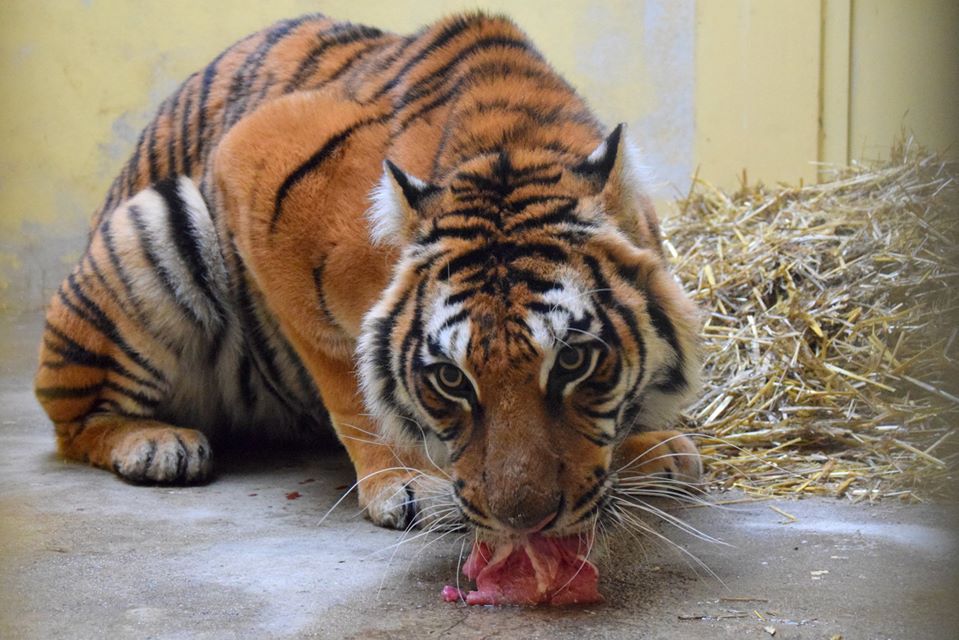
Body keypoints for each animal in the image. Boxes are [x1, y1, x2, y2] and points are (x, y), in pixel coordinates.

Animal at [35, 12, 704, 532]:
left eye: (573, 361)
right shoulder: (250, 162)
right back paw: (156, 444)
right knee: (74, 420)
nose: (523, 522)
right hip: (158, 222)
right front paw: (407, 483)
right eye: (451, 378)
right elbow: (353, 381)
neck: (511, 142)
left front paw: (650, 447)